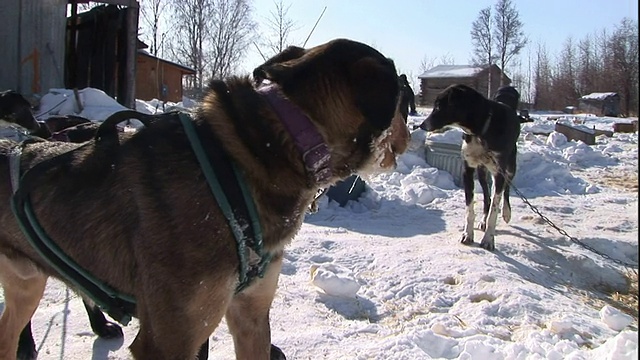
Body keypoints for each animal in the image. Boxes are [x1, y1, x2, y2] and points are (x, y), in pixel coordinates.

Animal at [418, 84, 524, 250]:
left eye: (439, 106)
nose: (422, 125)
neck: (481, 131)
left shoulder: (499, 172)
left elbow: (495, 209)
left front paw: (488, 239)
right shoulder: (467, 170)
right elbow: (470, 209)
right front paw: (468, 234)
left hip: (510, 167)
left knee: (505, 189)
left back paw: (506, 212)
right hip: (481, 172)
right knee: (487, 197)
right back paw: (483, 221)